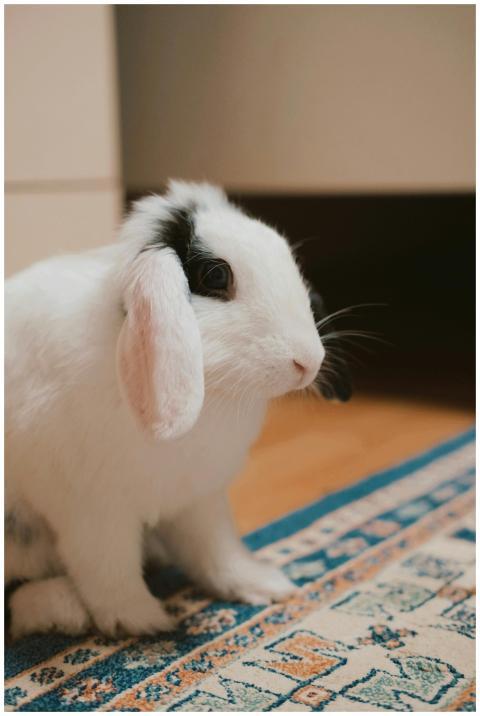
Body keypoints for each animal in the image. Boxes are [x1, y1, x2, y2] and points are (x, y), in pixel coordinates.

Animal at [5, 180, 351, 640]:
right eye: (216, 275)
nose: (307, 362)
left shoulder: (199, 500)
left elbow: (215, 550)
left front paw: (266, 586)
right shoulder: (93, 511)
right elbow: (108, 571)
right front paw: (144, 622)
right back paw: (65, 609)